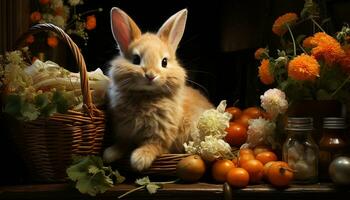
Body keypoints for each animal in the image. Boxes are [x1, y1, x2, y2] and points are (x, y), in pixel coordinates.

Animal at [103, 7, 213, 171]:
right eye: (136, 59)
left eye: (164, 62)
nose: (150, 75)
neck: (146, 95)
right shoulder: (124, 130)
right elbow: (122, 144)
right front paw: (109, 154)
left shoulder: (162, 132)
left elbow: (154, 145)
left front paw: (139, 160)